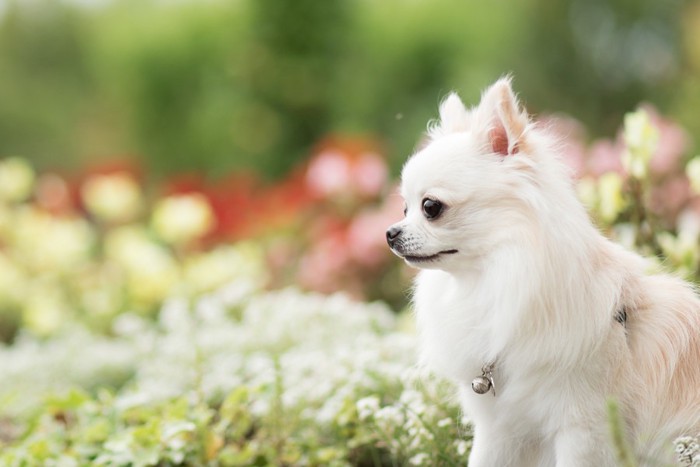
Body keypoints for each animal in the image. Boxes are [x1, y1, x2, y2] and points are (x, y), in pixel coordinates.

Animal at [386, 78, 700, 466]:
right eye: (404, 208)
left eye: (430, 207)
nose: (390, 233)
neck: (491, 281)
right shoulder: (500, 430)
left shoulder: (583, 429)